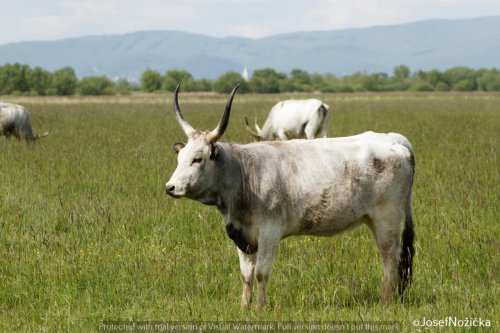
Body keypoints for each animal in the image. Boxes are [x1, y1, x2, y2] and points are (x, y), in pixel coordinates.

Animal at [166, 85, 416, 306]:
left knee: (390, 256)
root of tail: (394, 139)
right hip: (373, 219)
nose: (170, 187)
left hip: (387, 218)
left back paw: (386, 301)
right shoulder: (242, 236)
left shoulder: (270, 232)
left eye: (197, 159)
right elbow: (246, 275)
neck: (244, 173)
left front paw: (260, 308)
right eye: (180, 158)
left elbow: (261, 273)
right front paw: (245, 306)